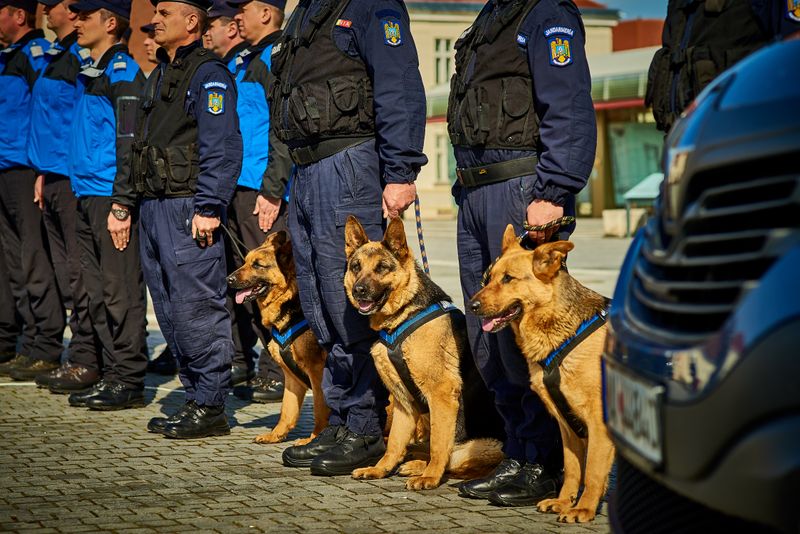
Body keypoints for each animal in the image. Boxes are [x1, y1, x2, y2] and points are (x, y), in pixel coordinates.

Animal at [226, 231, 329, 446]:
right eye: (245, 261)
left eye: (258, 265)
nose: (228, 279)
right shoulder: (291, 377)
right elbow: (286, 411)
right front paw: (276, 435)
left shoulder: (317, 372)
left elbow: (319, 409)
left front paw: (314, 440)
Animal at [343, 216, 505, 491]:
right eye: (356, 266)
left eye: (382, 268)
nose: (359, 290)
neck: (403, 315)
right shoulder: (403, 403)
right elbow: (394, 444)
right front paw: (380, 469)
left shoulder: (441, 394)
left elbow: (439, 444)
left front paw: (430, 477)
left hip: (483, 446)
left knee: (452, 459)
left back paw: (425, 469)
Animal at [468, 224, 615, 523]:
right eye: (488, 278)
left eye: (508, 279)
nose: (471, 305)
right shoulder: (568, 428)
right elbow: (573, 470)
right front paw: (563, 502)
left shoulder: (598, 425)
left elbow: (593, 472)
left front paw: (584, 508)